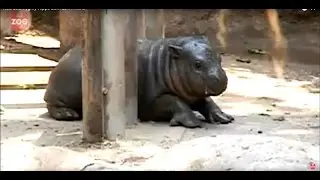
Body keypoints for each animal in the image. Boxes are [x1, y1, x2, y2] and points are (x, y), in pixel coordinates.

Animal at [43, 35, 234, 128]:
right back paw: (68, 115)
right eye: (197, 64)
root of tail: (64, 56)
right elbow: (175, 101)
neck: (170, 61)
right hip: (62, 92)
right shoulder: (153, 101)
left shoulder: (194, 92)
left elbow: (207, 101)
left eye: (219, 58)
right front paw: (193, 123)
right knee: (51, 104)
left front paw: (224, 118)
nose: (221, 79)